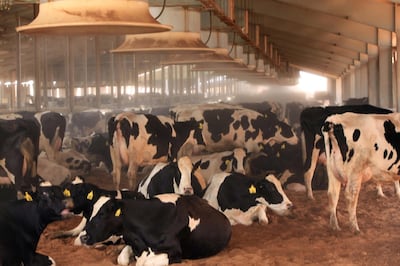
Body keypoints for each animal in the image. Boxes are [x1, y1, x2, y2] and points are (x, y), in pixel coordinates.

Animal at [78, 193, 231, 266]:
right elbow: (122, 259)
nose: (83, 237)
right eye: (90, 212)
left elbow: (146, 263)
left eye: (102, 214)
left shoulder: (175, 252)